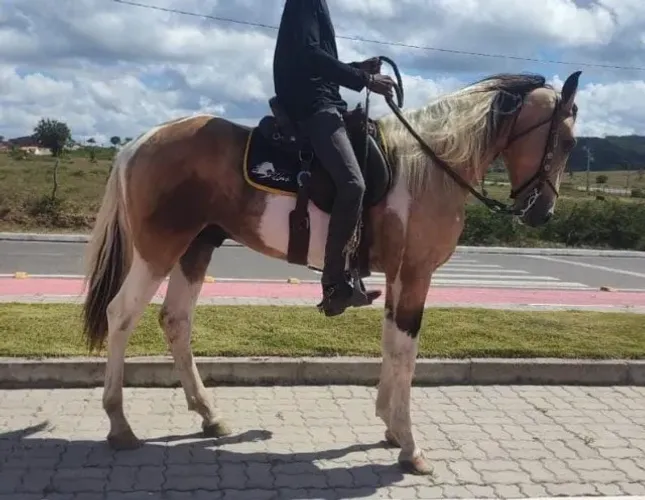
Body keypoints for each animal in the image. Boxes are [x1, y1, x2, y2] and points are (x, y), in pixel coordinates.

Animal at [81, 67, 581, 475]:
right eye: (569, 141)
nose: (543, 212)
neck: (429, 165)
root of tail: (139, 143)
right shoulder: (416, 274)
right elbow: (406, 352)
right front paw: (411, 447)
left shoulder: (398, 276)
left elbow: (390, 344)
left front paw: (390, 428)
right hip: (158, 251)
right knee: (120, 315)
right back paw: (119, 425)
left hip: (195, 248)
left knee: (176, 321)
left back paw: (208, 414)